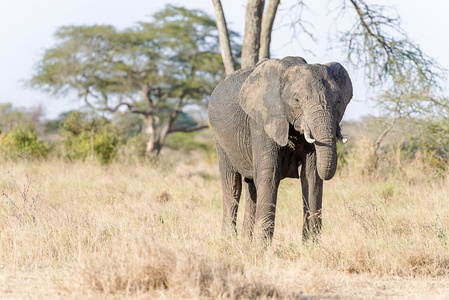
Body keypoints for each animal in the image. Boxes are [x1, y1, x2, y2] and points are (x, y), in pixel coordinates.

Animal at [208, 56, 352, 243]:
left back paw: (245, 243)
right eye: (297, 100)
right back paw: (229, 241)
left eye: (338, 101)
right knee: (232, 185)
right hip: (220, 139)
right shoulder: (262, 120)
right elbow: (269, 174)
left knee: (251, 187)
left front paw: (311, 245)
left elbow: (312, 176)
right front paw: (261, 247)